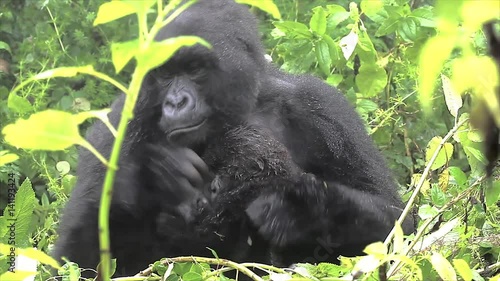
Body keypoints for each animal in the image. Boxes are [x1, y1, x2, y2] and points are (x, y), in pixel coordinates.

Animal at [54, 0, 414, 276]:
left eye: (195, 69)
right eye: (165, 74)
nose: (175, 102)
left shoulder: (323, 108)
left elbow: (398, 225)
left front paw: (301, 207)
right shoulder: (119, 125)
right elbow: (75, 257)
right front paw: (152, 176)